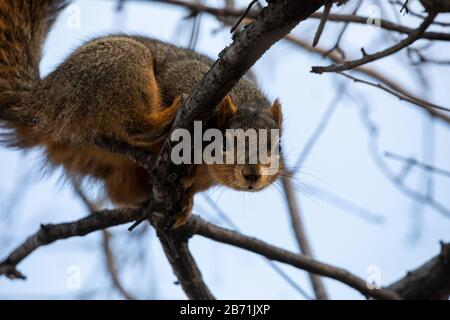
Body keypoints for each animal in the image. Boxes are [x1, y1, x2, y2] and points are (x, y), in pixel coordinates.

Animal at [0, 0, 282, 228]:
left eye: (274, 146)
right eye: (229, 143)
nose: (253, 175)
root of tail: (42, 100)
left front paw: (187, 204)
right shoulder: (186, 78)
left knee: (119, 193)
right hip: (123, 64)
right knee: (132, 125)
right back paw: (163, 122)